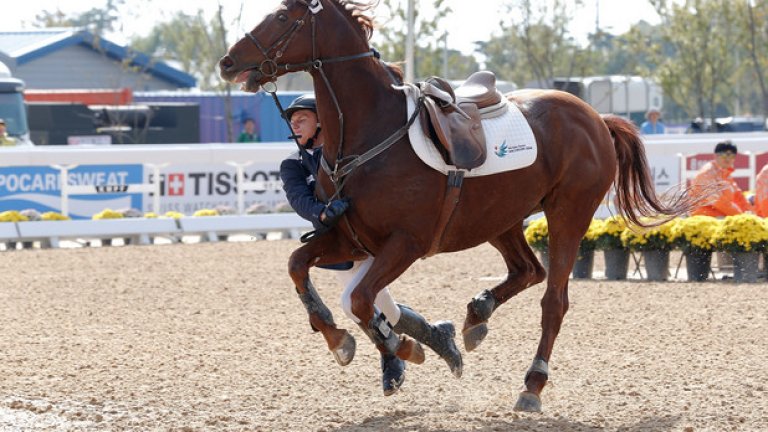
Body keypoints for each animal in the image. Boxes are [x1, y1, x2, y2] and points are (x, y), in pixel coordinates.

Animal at [218, 0, 688, 412]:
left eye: (282, 17)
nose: (227, 62)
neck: (370, 132)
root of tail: (595, 117)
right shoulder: (349, 237)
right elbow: (299, 265)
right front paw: (339, 339)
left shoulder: (405, 243)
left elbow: (364, 301)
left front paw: (401, 346)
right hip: (500, 219)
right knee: (527, 270)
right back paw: (477, 316)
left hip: (568, 215)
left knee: (553, 299)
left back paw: (532, 384)